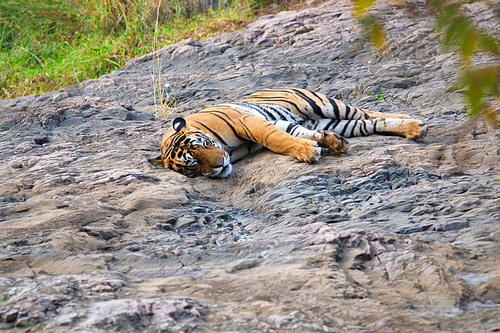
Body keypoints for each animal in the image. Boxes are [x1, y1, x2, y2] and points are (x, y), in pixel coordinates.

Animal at [149, 87, 426, 178]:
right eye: (193, 165)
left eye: (204, 145)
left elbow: (277, 140)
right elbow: (293, 135)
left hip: (324, 104)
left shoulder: (250, 122)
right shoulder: (278, 123)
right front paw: (319, 144)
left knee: (366, 112)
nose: (220, 165)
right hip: (329, 121)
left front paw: (308, 153)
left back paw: (412, 123)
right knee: (368, 124)